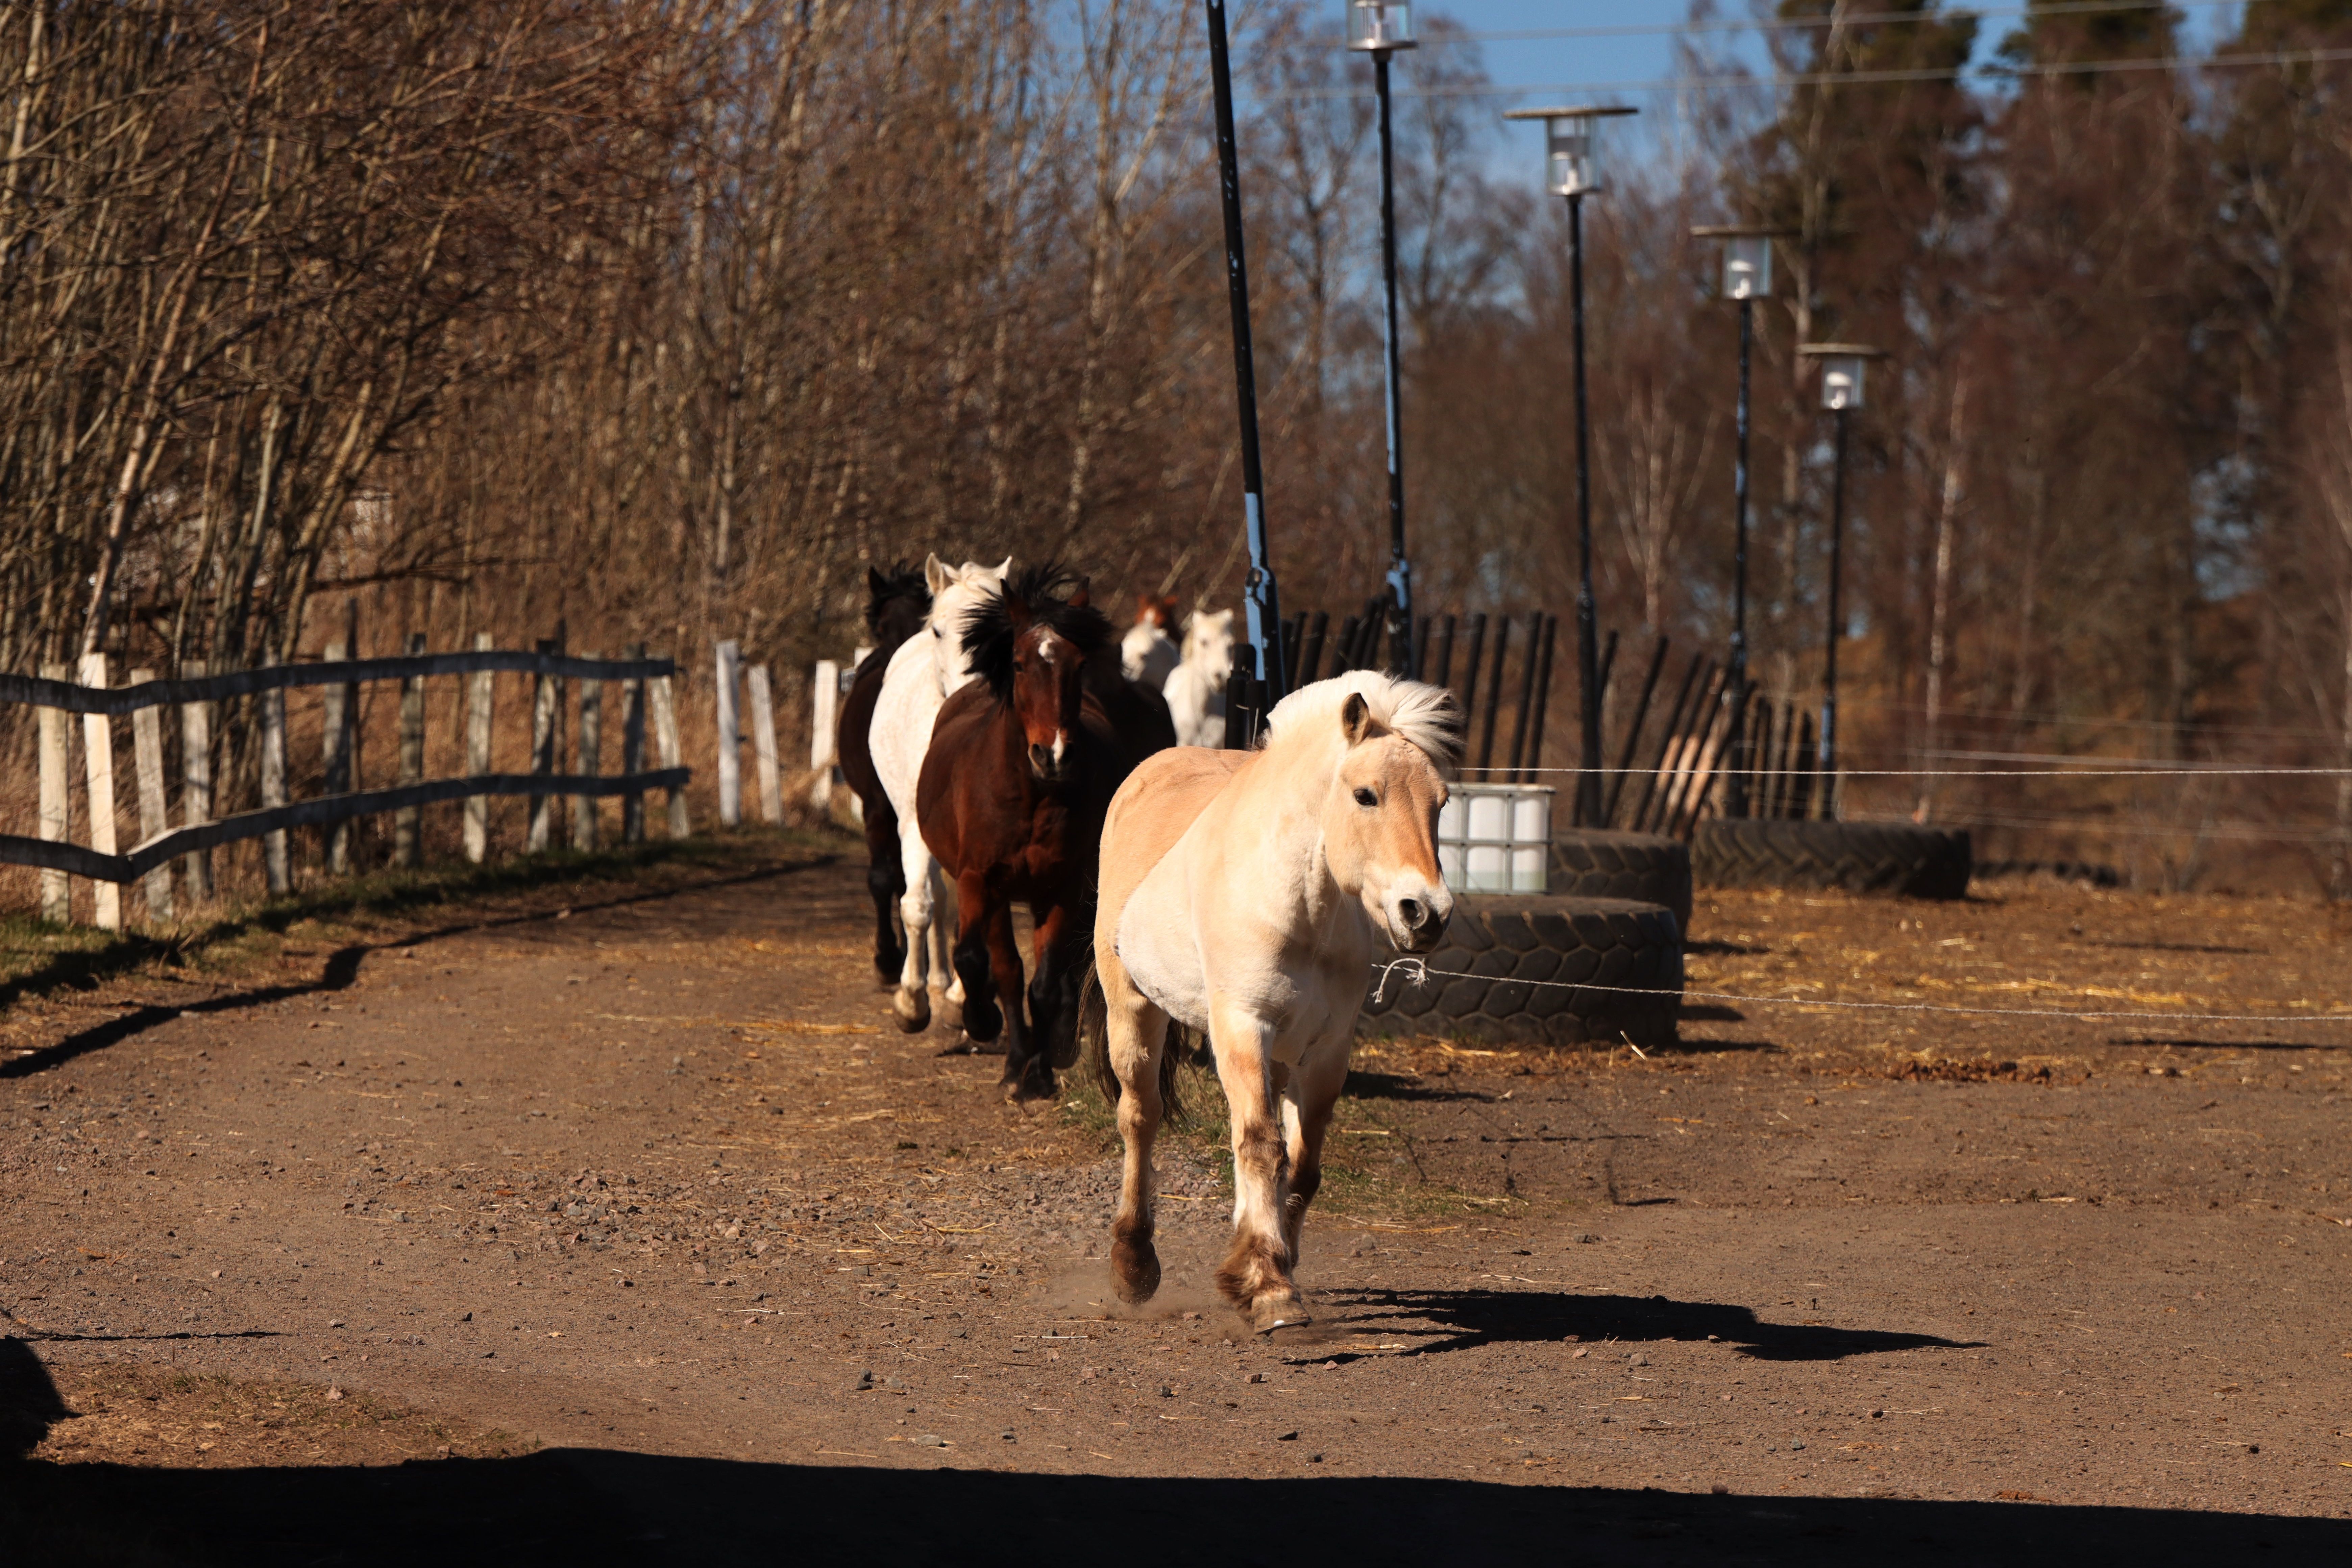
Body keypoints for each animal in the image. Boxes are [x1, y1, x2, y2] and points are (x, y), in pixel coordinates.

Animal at [917, 565, 1174, 1101]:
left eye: (1078, 665)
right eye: (1018, 664)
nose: (1052, 754)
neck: (1030, 795)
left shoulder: (1061, 887)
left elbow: (1047, 982)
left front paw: (1043, 1067)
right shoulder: (978, 880)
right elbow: (975, 960)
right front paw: (984, 1023)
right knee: (1005, 970)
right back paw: (1011, 1056)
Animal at [1084, 670, 1460, 1330]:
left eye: (1440, 803)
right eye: (1366, 795)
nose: (1427, 914)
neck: (1300, 907)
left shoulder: (1327, 1050)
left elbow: (1300, 1164)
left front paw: (1268, 1262)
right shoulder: (1242, 1027)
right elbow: (1259, 1146)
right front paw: (1270, 1290)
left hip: (1280, 1055)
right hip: (1133, 1009)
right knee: (1141, 1118)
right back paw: (1133, 1264)